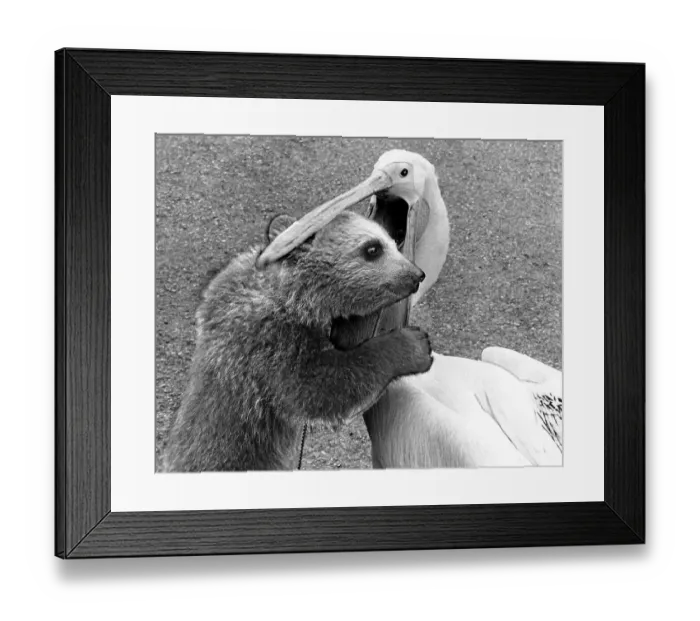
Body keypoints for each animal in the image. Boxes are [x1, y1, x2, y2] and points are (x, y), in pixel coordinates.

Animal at [161, 211, 434, 472]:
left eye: (393, 241)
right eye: (373, 248)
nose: (417, 274)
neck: (294, 297)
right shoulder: (269, 342)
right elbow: (318, 387)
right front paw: (414, 345)